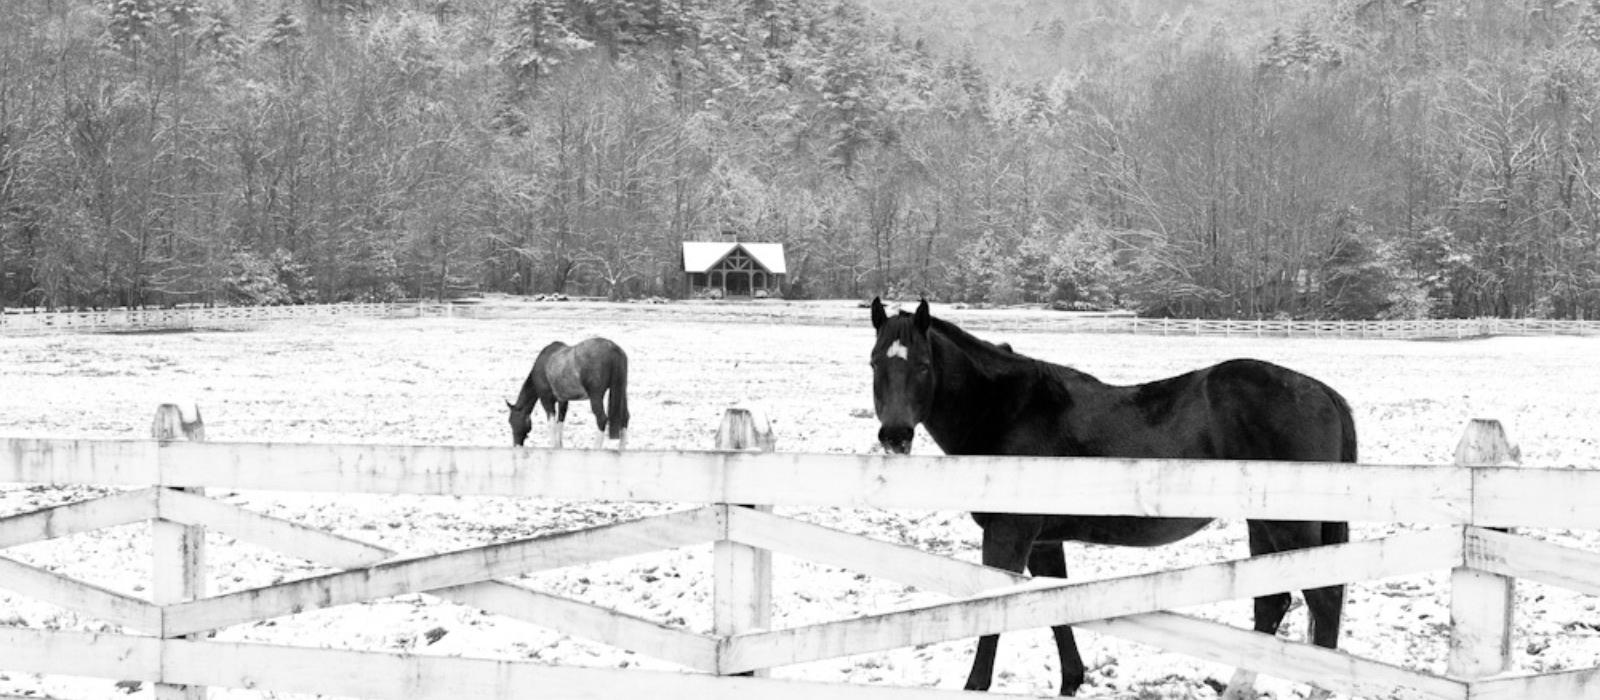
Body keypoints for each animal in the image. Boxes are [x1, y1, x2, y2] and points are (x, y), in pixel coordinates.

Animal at [868, 298, 1353, 698]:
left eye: (924, 365)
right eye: (874, 362)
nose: (895, 436)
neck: (1009, 411)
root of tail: (1323, 393)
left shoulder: (1010, 534)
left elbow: (995, 613)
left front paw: (976, 686)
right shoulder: (1044, 541)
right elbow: (1055, 606)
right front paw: (1071, 680)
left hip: (1291, 527)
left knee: (1323, 600)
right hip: (1264, 525)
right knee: (1273, 603)